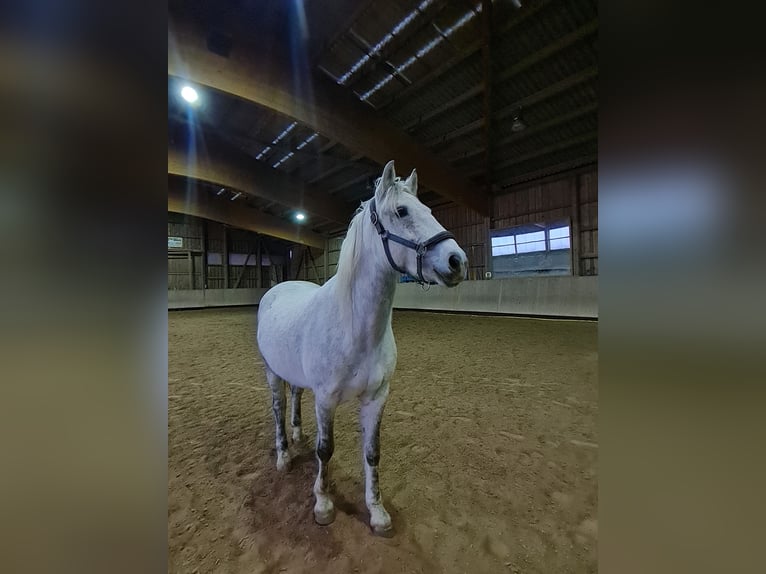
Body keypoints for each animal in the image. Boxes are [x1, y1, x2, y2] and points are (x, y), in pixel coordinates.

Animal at [256, 160, 468, 535]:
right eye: (402, 211)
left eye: (430, 210)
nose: (457, 261)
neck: (356, 330)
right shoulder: (326, 399)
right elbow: (325, 450)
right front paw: (323, 504)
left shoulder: (376, 397)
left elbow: (372, 453)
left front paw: (377, 511)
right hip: (272, 373)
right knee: (278, 408)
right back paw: (283, 455)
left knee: (295, 397)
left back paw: (296, 435)